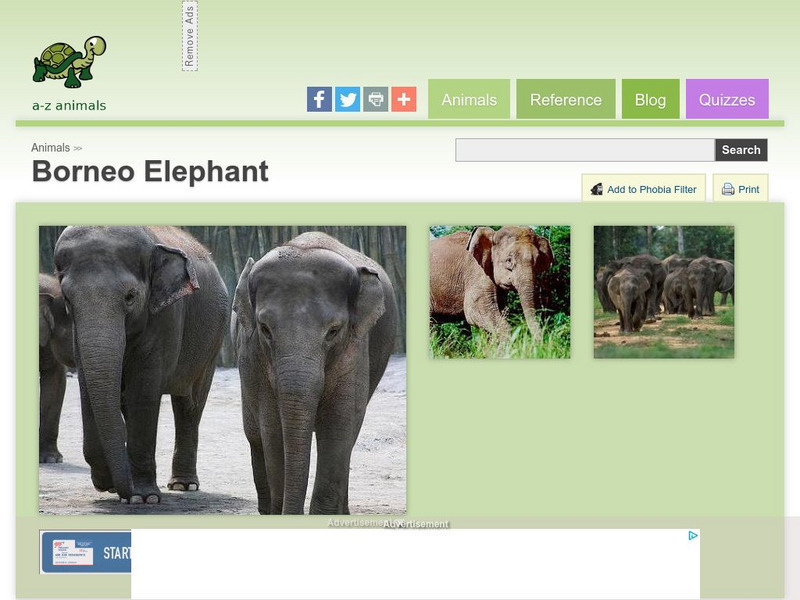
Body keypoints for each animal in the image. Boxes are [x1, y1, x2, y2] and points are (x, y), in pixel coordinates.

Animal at [53, 226, 228, 504]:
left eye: (130, 296)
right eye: (67, 299)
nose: (120, 488)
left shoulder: (166, 317)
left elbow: (143, 393)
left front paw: (143, 498)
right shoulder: (76, 331)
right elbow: (87, 387)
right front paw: (111, 484)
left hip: (212, 343)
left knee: (189, 405)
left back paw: (183, 485)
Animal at [231, 232, 397, 515]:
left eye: (333, 331)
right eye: (265, 329)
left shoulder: (354, 350)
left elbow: (339, 424)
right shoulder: (253, 354)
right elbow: (272, 427)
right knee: (254, 435)